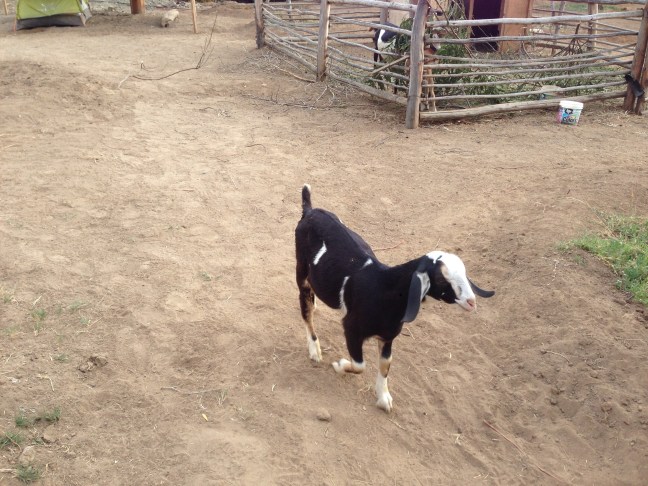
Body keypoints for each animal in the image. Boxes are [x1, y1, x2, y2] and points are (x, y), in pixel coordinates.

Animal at [295, 185, 494, 413]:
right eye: (441, 279)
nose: (471, 302)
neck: (383, 288)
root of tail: (310, 210)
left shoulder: (388, 336)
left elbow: (385, 365)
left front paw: (384, 399)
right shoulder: (351, 328)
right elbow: (360, 365)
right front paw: (339, 365)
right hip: (301, 272)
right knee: (306, 311)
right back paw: (315, 350)